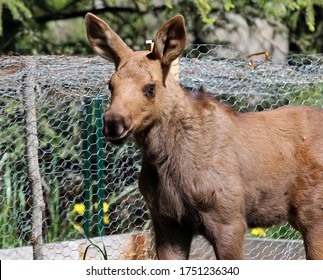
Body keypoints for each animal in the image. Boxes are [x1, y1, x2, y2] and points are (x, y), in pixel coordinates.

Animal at [85, 12, 323, 258]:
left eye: (150, 87)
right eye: (111, 85)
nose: (114, 122)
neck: (164, 162)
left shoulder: (229, 219)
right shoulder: (167, 222)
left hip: (314, 214)